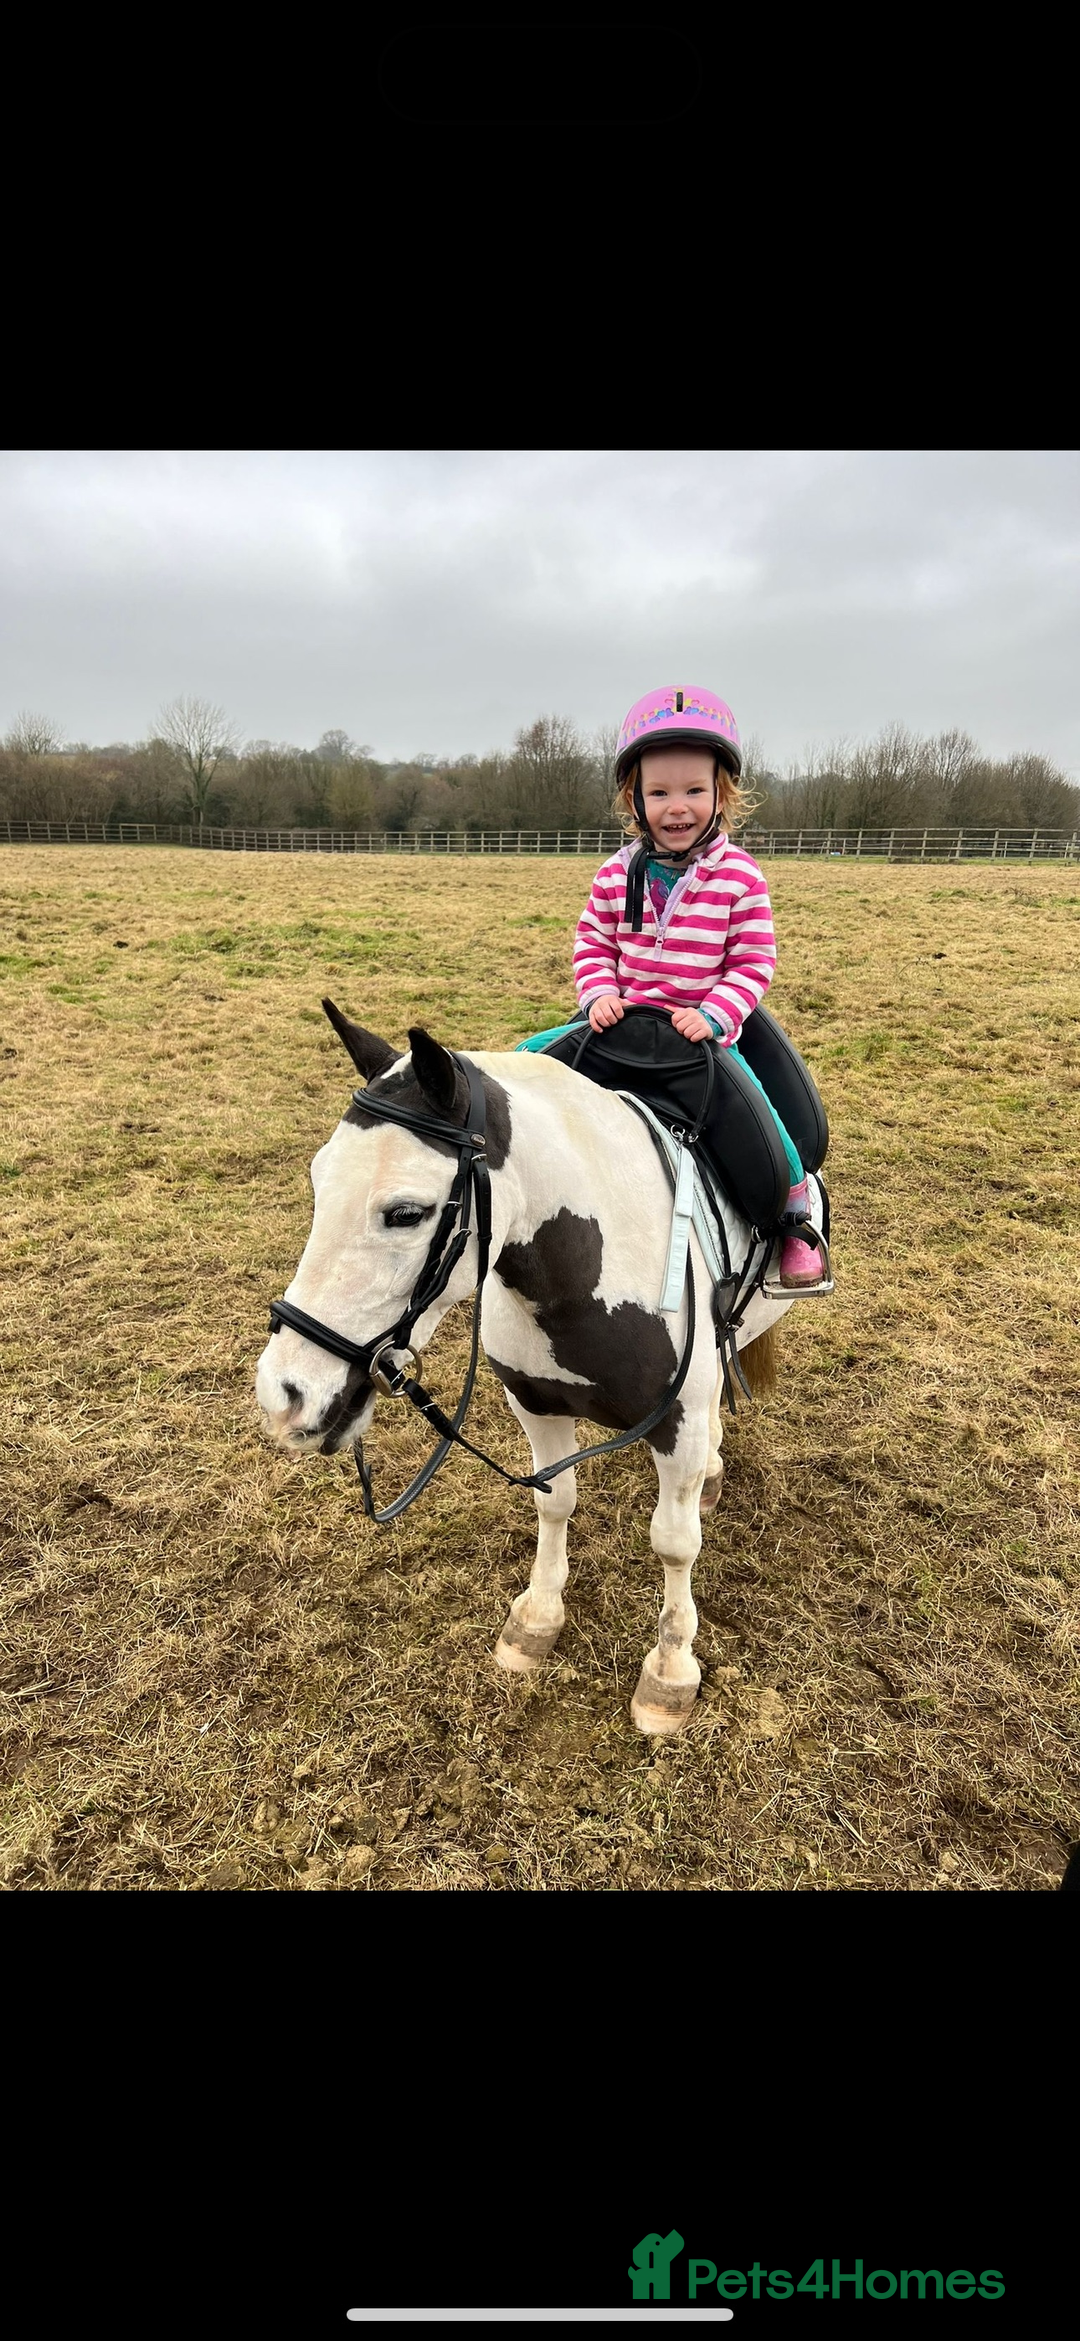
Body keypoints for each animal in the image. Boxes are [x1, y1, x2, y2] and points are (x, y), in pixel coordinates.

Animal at [255, 1000, 824, 1735]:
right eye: (318, 1182)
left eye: (405, 1212)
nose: (285, 1393)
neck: (584, 1272)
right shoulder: (535, 1403)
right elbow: (554, 1502)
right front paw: (536, 1620)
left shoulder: (677, 1422)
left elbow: (674, 1542)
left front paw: (669, 1673)